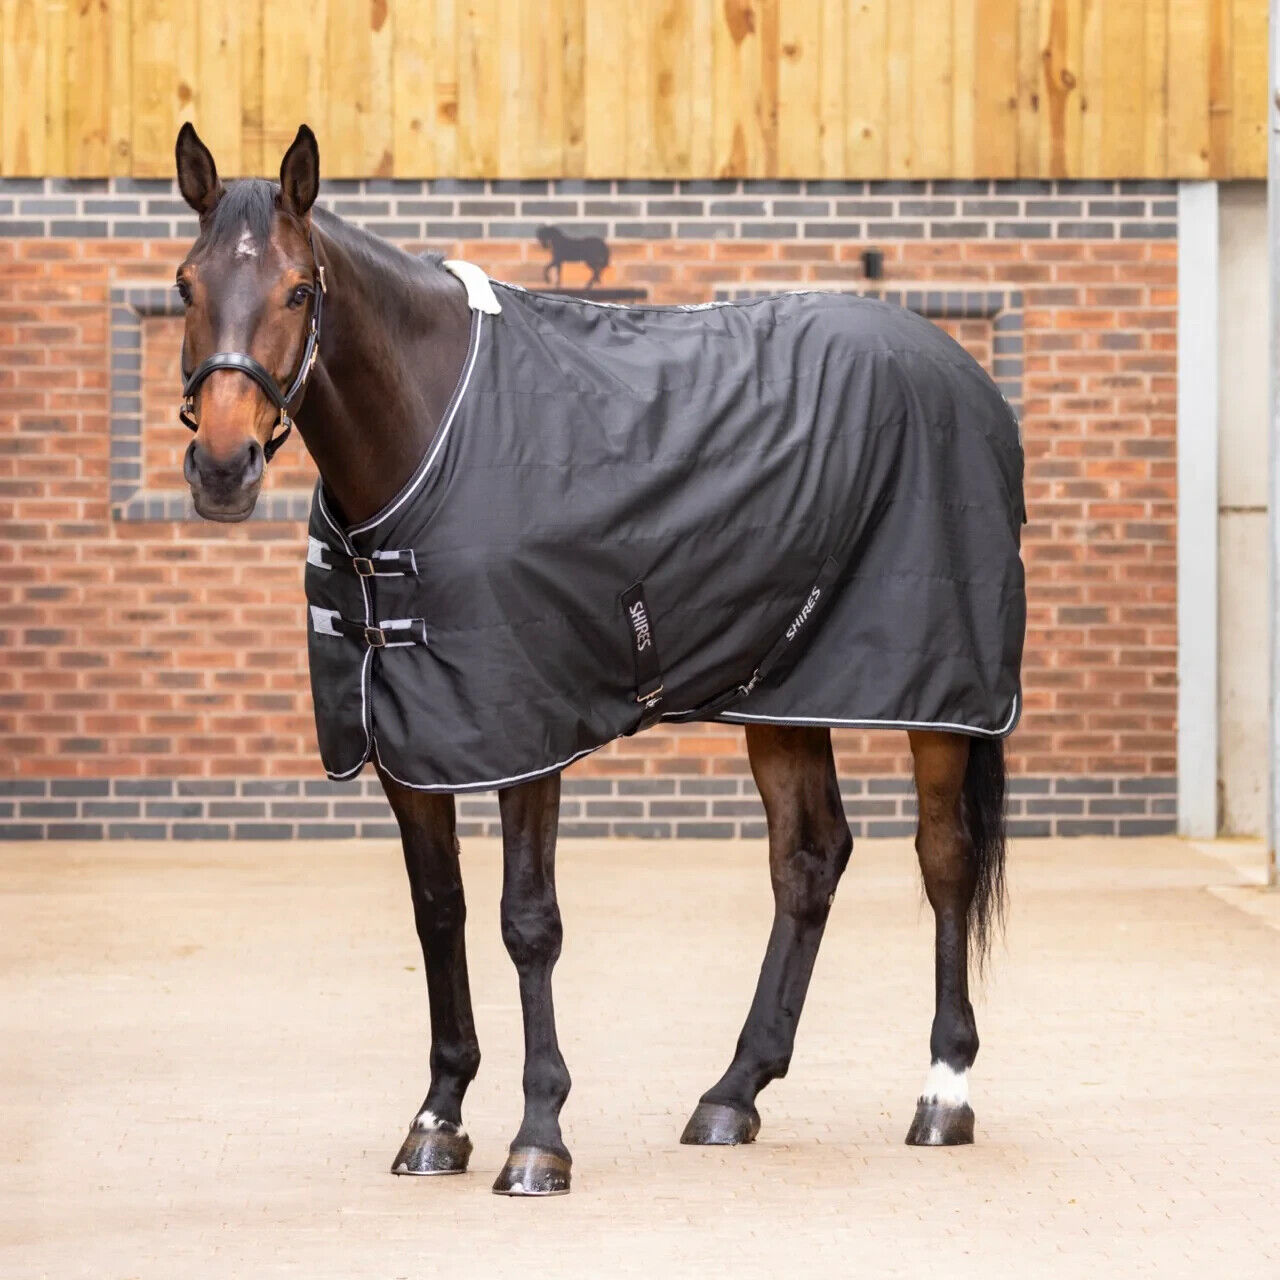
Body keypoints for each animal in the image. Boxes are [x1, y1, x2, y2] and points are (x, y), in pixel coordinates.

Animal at [173, 122, 1022, 1197]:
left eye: (295, 290)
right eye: (186, 284)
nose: (223, 468)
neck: (432, 438)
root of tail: (963, 373)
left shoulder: (523, 732)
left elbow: (526, 921)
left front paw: (538, 1138)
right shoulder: (405, 737)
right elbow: (439, 913)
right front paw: (438, 1119)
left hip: (937, 697)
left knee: (944, 859)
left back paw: (943, 1094)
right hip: (782, 690)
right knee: (808, 862)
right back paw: (733, 1094)